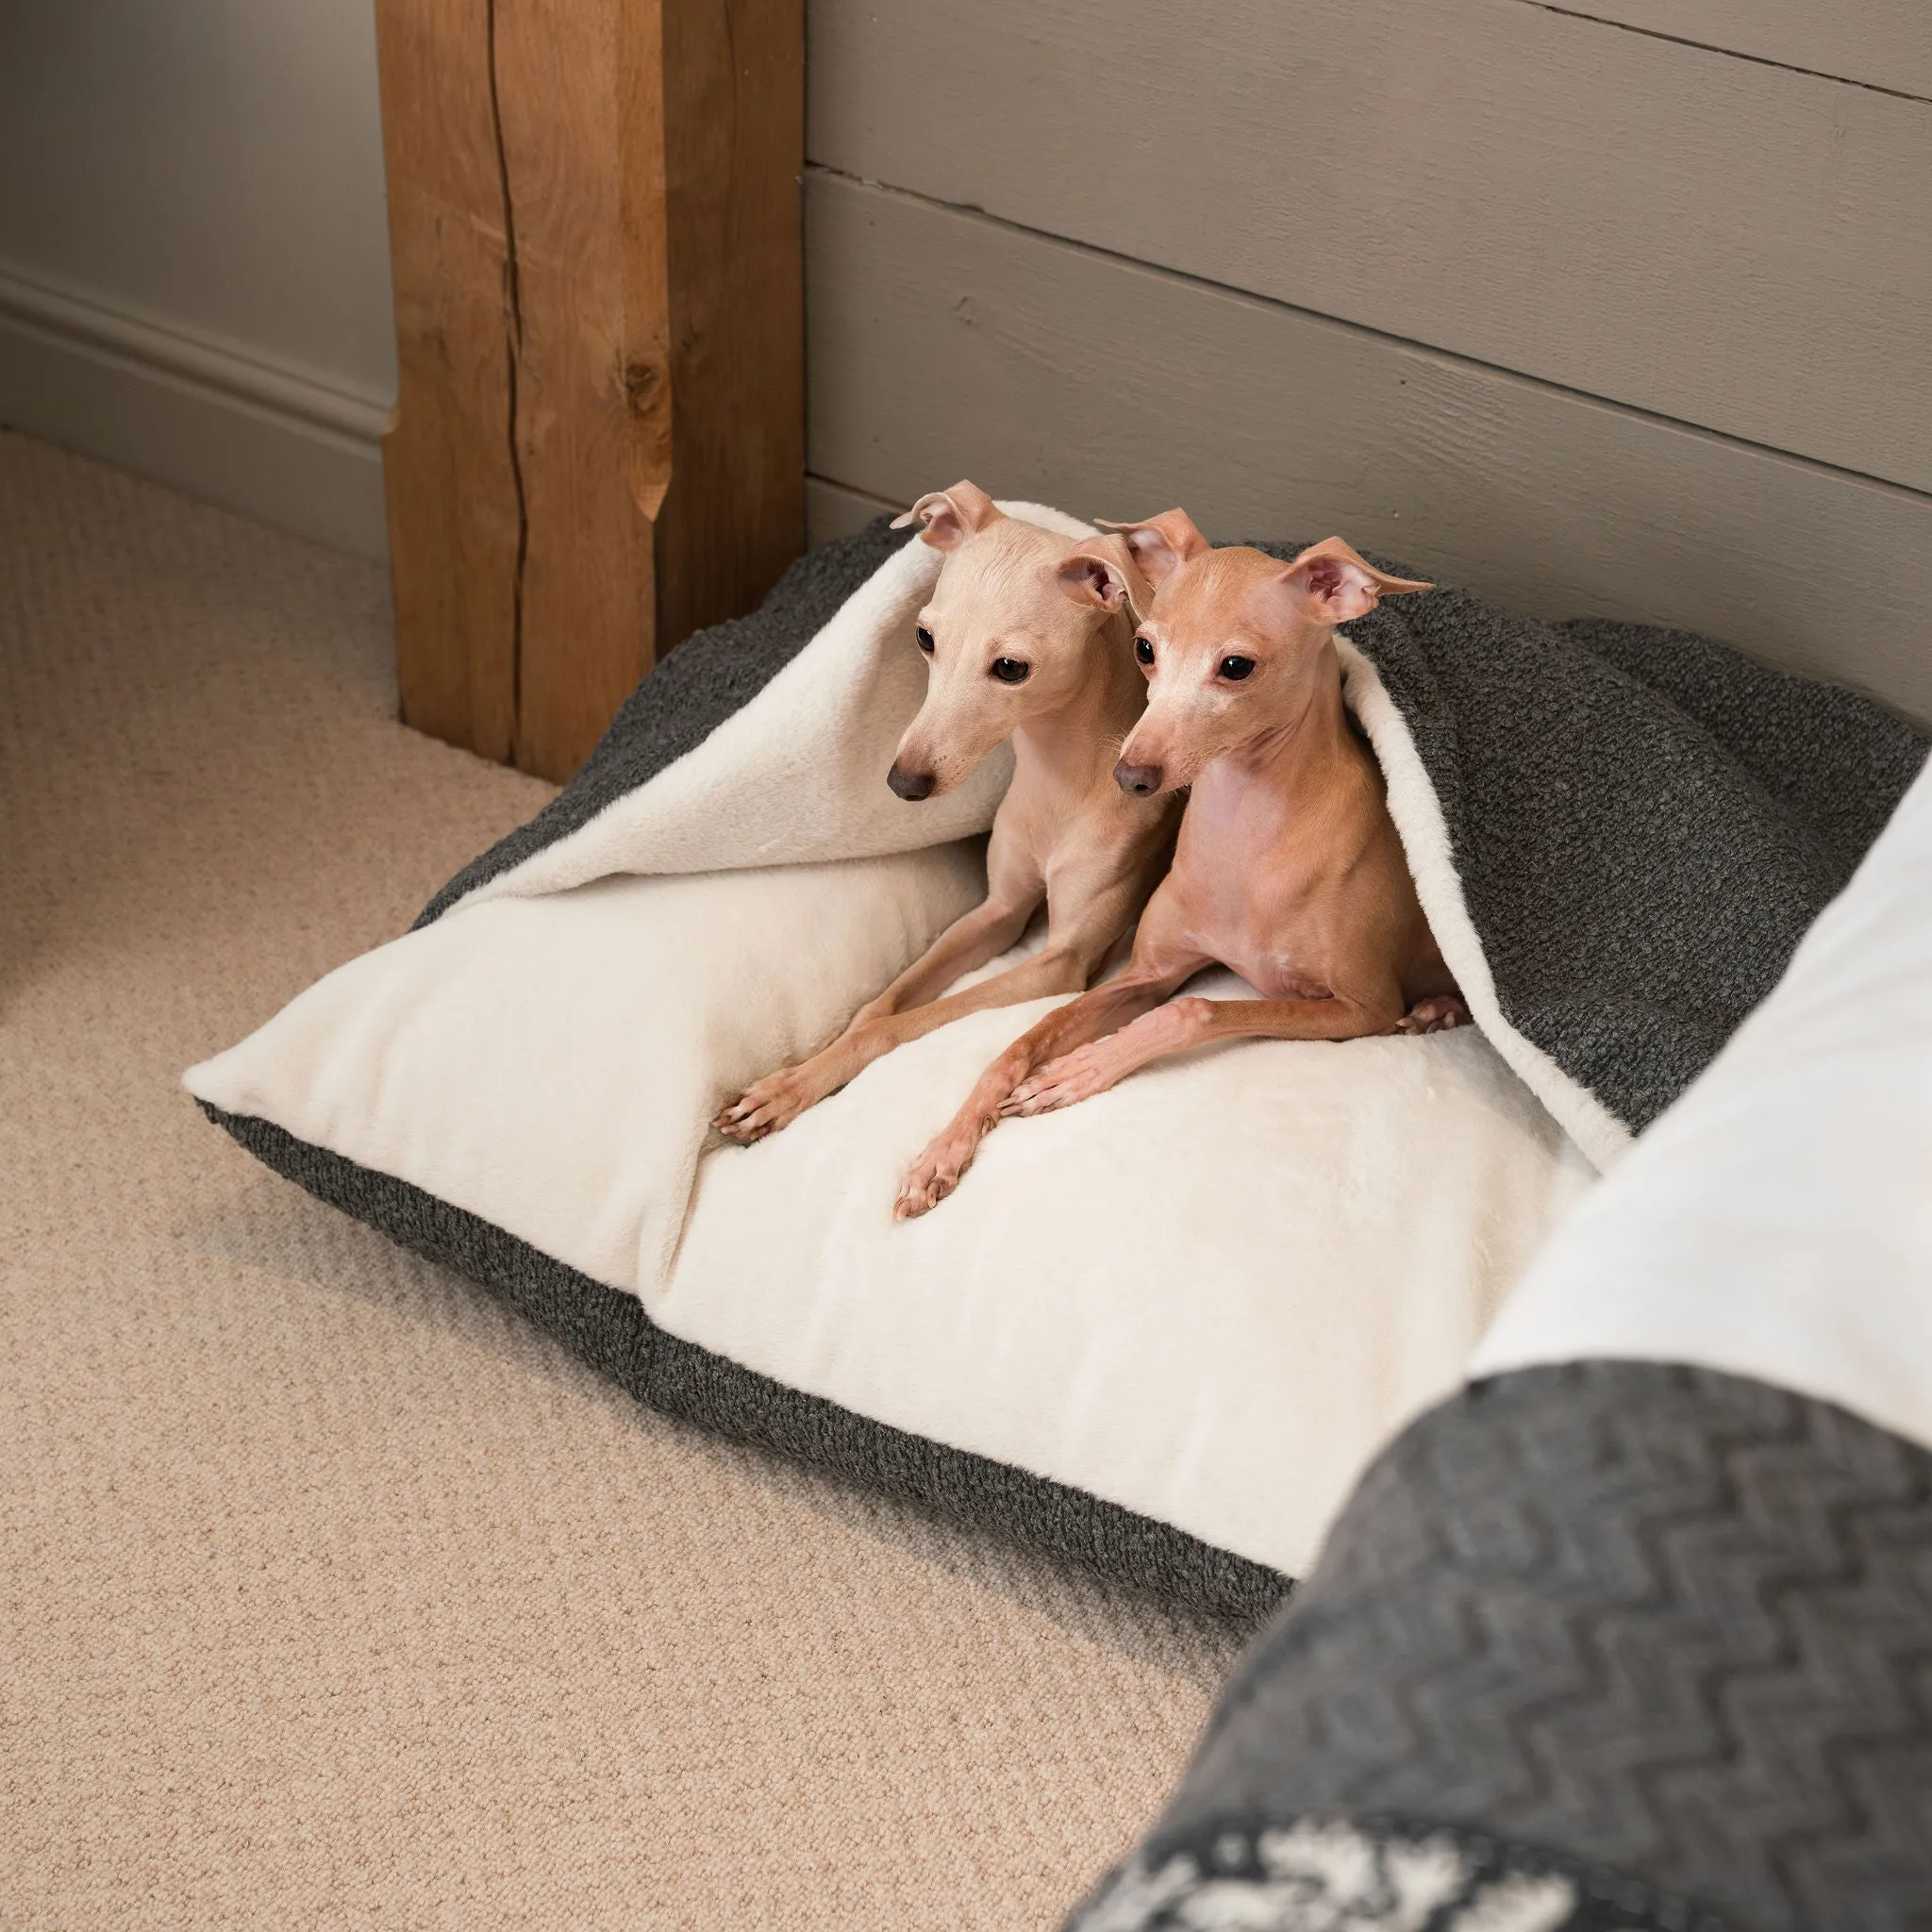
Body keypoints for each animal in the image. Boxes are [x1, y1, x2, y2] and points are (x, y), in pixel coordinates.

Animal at [726, 487, 1460, 1205]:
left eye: (1011, 667)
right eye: (924, 637)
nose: (904, 783)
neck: (1063, 786)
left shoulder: (1067, 964)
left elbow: (914, 1023)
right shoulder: (1002, 916)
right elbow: (888, 1008)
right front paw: (794, 1083)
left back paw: (1438, 1009)